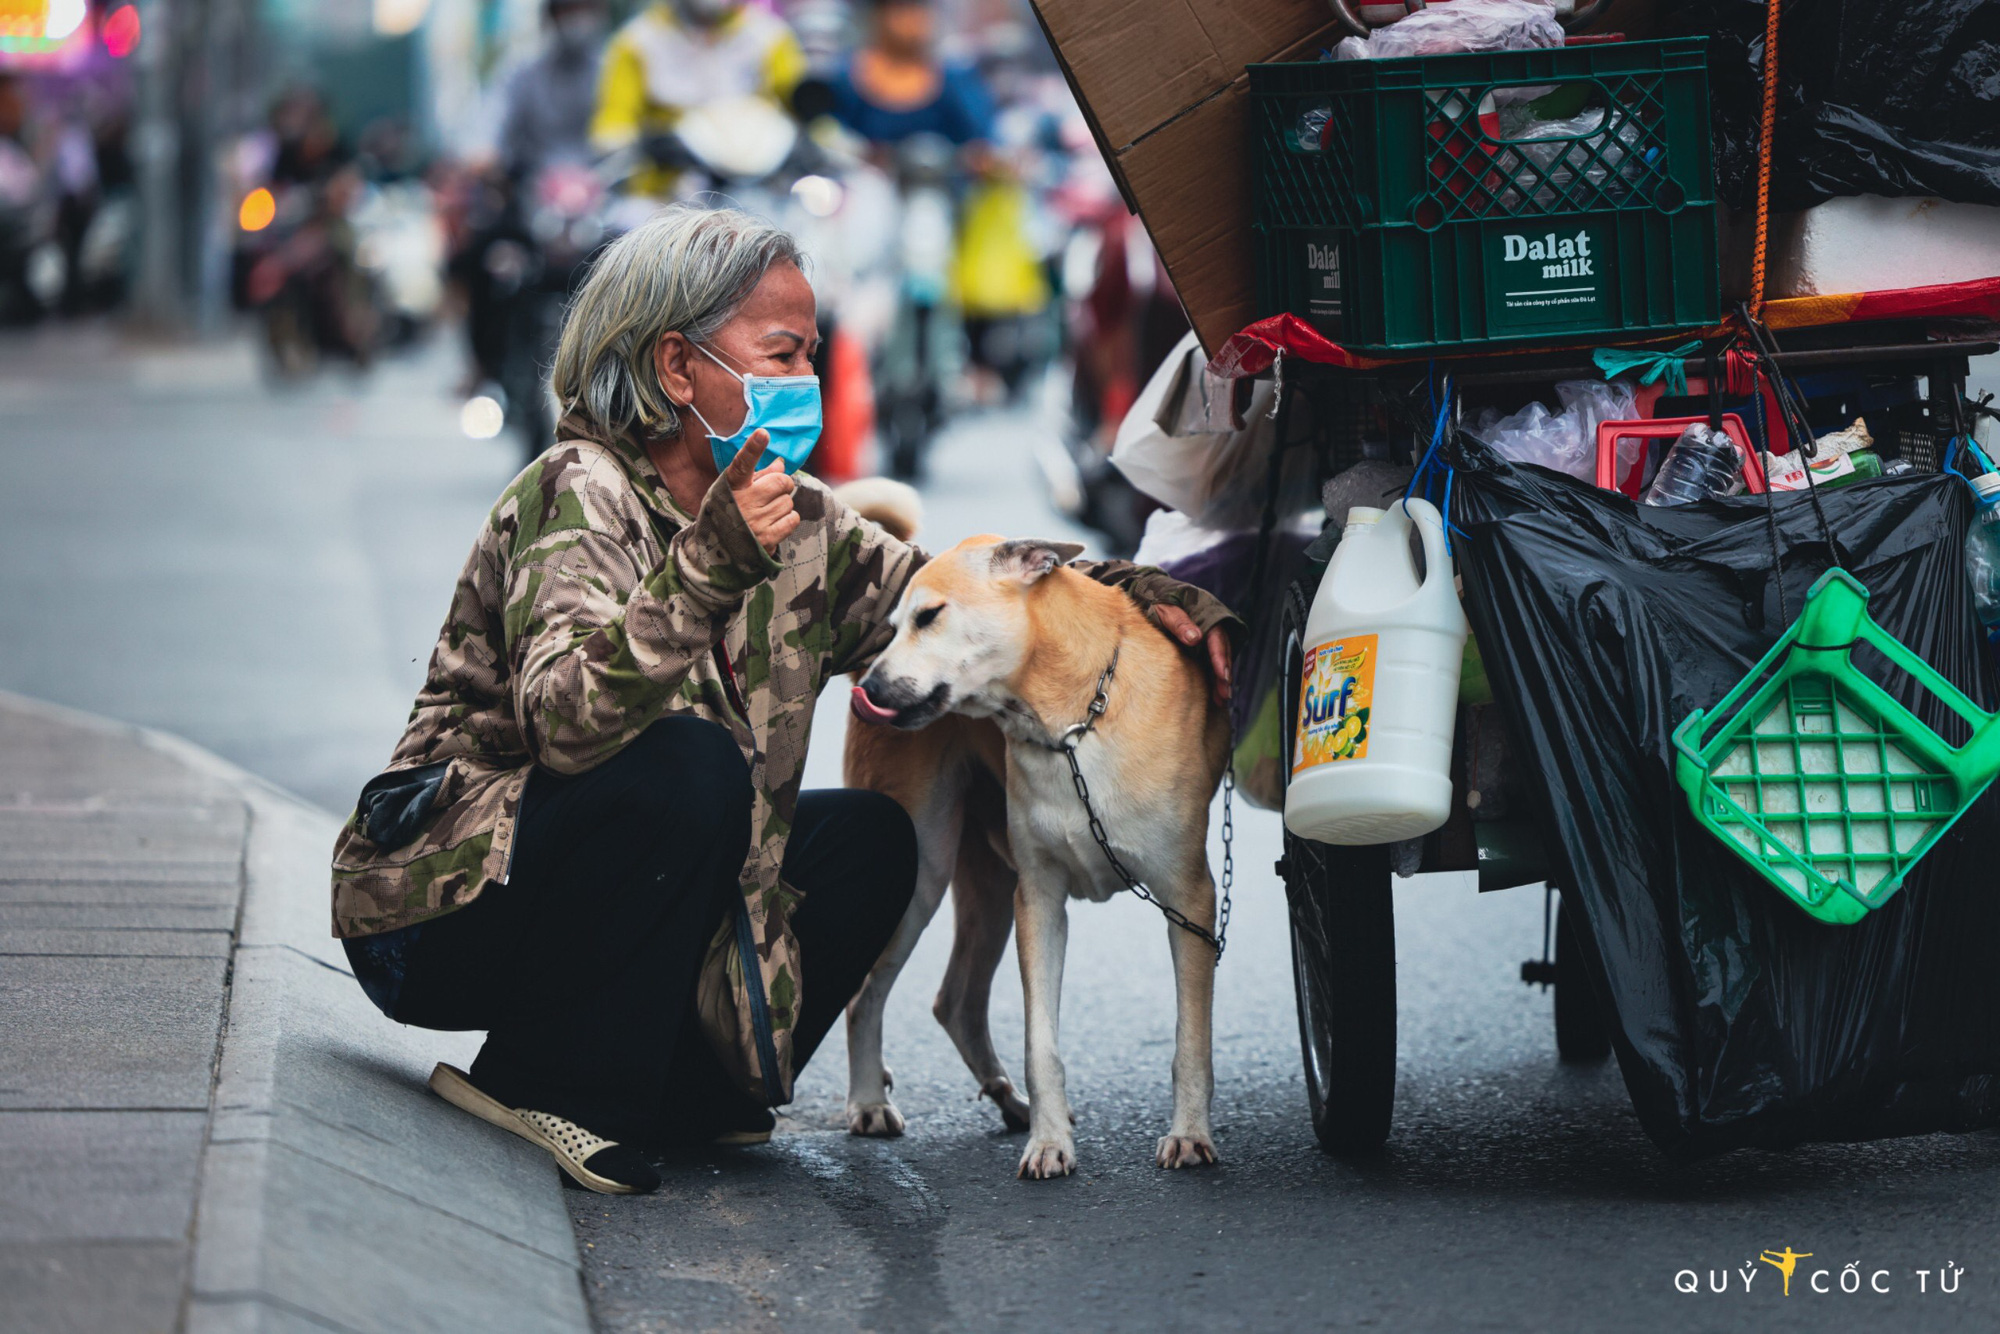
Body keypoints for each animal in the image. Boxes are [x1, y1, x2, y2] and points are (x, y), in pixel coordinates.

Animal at [848, 532, 1232, 1176]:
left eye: (929, 616)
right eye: (894, 626)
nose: (867, 695)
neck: (1073, 721)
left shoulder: (1191, 901)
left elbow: (1192, 1040)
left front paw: (1188, 1134)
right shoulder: (1040, 902)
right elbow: (1041, 1044)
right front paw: (1050, 1142)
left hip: (988, 890)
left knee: (955, 1002)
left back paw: (1005, 1102)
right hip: (924, 876)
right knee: (864, 997)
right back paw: (869, 1101)